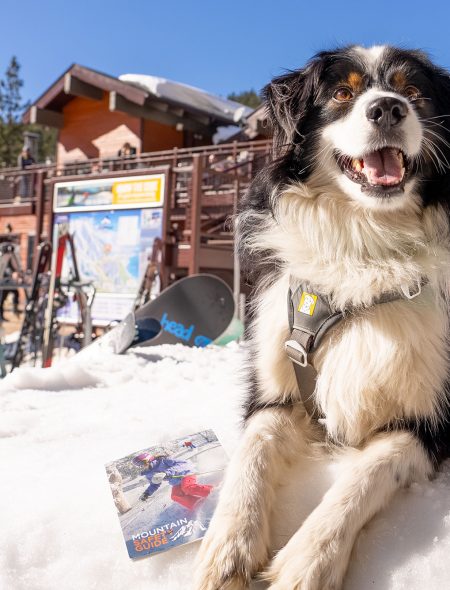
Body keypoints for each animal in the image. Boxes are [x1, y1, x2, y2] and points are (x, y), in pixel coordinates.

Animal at [195, 46, 450, 590]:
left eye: (413, 92)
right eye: (342, 93)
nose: (388, 108)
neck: (365, 245)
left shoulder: (434, 420)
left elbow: (368, 472)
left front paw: (307, 559)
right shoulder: (276, 385)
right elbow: (253, 449)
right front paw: (229, 544)